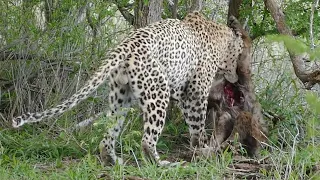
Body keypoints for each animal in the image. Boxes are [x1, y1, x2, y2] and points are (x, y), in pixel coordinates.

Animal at [11, 11, 244, 167]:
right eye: (240, 54)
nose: (237, 76)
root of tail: (126, 44)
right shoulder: (195, 92)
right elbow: (197, 124)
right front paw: (202, 148)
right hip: (158, 92)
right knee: (147, 140)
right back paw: (161, 164)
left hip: (120, 97)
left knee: (108, 135)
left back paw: (112, 161)